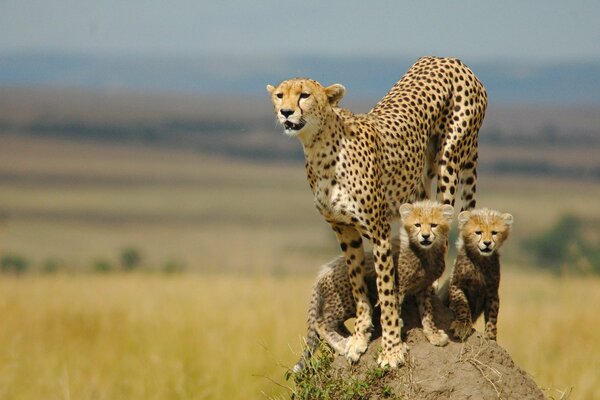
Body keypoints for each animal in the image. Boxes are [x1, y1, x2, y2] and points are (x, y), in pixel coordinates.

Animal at [268, 57, 488, 368]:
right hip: (421, 181)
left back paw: (432, 316)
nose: (285, 112)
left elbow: (386, 292)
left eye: (304, 95)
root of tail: (448, 59)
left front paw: (392, 349)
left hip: (450, 162)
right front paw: (360, 338)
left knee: (441, 237)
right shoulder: (344, 230)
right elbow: (358, 283)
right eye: (280, 95)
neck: (320, 148)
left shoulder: (379, 230)